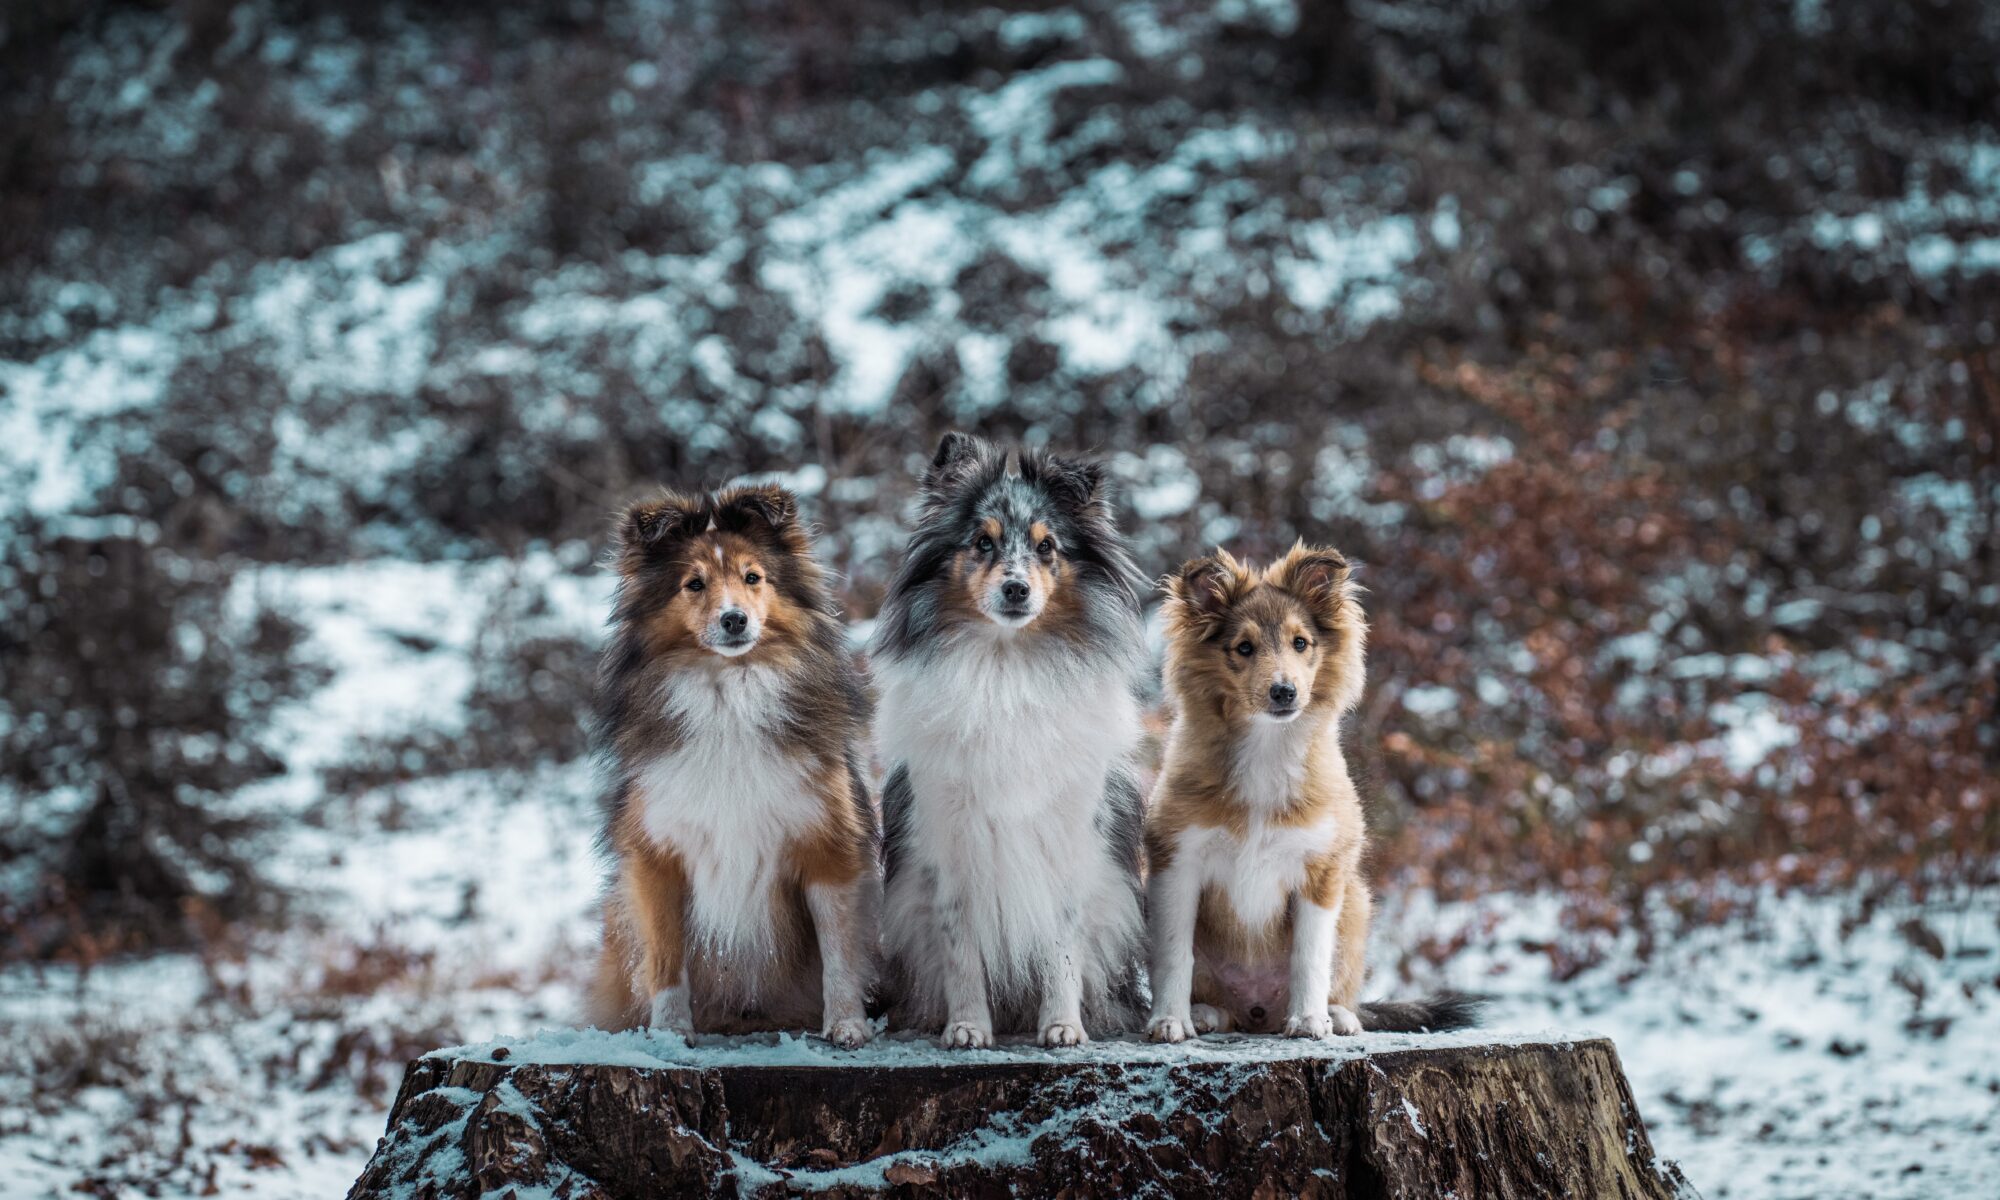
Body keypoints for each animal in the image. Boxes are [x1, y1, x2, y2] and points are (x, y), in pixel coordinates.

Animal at [584, 482, 884, 1048]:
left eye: (753, 577)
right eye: (694, 584)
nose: (734, 620)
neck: (731, 693)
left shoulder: (830, 847)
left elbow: (840, 950)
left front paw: (847, 1025)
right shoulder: (657, 856)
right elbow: (666, 957)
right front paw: (670, 1032)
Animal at [872, 434, 1144, 1048]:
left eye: (1047, 547)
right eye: (982, 542)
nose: (1015, 589)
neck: (1006, 665)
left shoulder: (1067, 837)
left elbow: (1060, 944)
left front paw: (1063, 1028)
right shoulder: (950, 843)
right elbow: (961, 953)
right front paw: (968, 1029)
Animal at [1152, 548, 1480, 1040]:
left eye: (1301, 643)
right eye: (1244, 648)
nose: (1284, 692)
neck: (1267, 746)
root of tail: (1259, 1013)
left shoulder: (1321, 871)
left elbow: (1309, 957)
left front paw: (1309, 1019)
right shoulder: (1178, 863)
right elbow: (1174, 953)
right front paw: (1170, 1020)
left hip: (1356, 904)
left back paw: (1337, 1016)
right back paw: (1206, 1014)